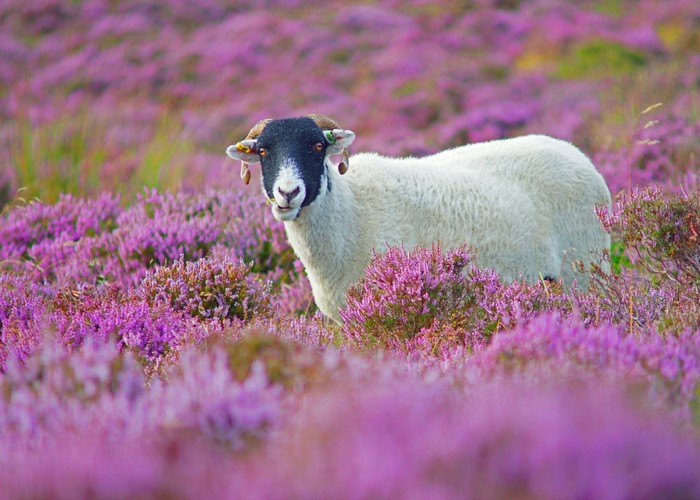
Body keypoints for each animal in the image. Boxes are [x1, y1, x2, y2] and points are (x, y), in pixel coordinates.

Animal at [226, 114, 611, 323]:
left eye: (318, 147)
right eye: (264, 151)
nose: (287, 193)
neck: (351, 210)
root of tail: (579, 157)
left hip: (583, 269)